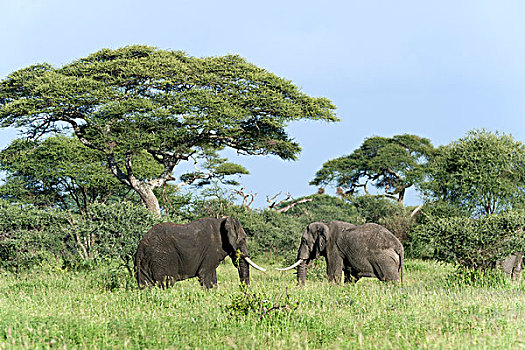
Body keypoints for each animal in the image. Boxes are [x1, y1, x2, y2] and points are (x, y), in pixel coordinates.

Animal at [135, 216, 266, 290]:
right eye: (243, 239)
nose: (243, 290)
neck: (222, 221)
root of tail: (141, 248)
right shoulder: (211, 250)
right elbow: (205, 275)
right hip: (162, 258)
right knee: (166, 282)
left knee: (145, 285)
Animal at [276, 221, 404, 284]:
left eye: (303, 241)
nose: (300, 287)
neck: (325, 225)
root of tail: (399, 247)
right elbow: (350, 275)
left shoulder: (333, 248)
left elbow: (333, 273)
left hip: (385, 260)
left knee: (391, 280)